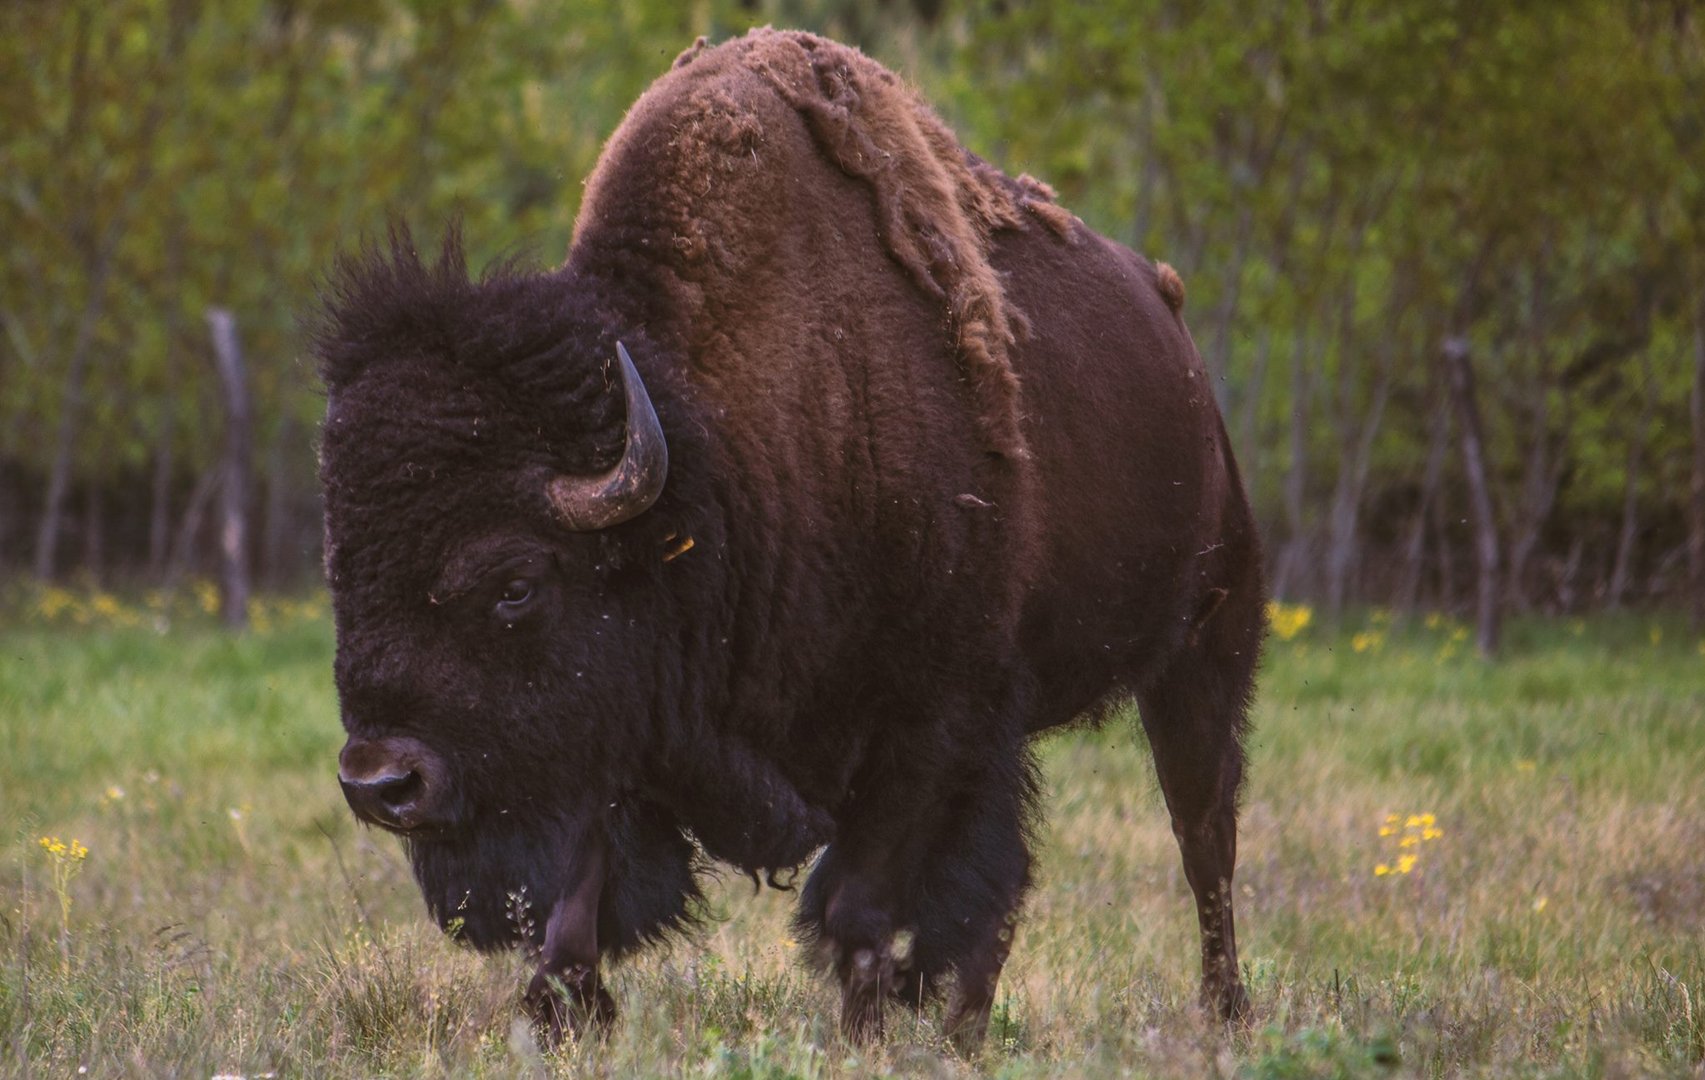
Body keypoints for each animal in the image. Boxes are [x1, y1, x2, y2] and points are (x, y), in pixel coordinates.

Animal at [317, 27, 1268, 1050]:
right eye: (343, 570)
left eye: (515, 584)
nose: (380, 782)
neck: (714, 461)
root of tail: (1178, 340)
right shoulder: (629, 728)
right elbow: (574, 913)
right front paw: (564, 1016)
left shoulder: (924, 722)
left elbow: (861, 907)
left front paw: (863, 1035)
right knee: (1009, 891)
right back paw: (967, 1032)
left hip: (1204, 651)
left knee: (1202, 840)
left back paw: (1222, 1011)